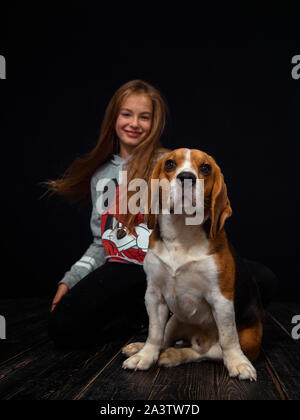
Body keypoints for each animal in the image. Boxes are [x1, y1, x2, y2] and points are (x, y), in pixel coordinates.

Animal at [121, 148, 262, 380]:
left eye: (205, 167)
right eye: (169, 164)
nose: (187, 177)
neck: (181, 233)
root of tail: (195, 336)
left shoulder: (221, 298)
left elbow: (228, 338)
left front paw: (238, 363)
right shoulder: (154, 295)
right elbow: (154, 334)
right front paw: (144, 356)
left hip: (251, 339)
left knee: (205, 353)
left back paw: (174, 355)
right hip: (174, 320)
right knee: (165, 339)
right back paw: (142, 348)